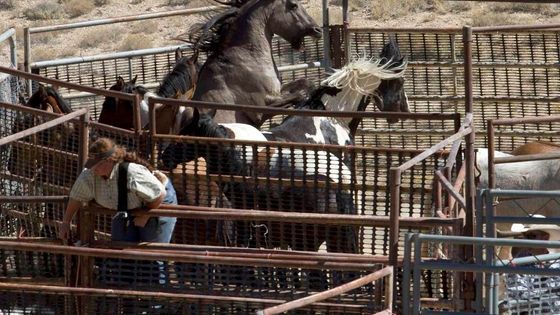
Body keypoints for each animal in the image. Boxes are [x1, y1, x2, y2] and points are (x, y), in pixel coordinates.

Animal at [191, 0, 324, 128]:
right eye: (293, 5)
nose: (318, 30)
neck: (248, 58)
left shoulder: (277, 90)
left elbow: (307, 83)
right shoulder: (259, 111)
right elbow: (299, 95)